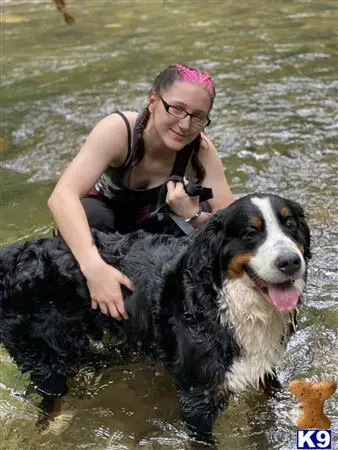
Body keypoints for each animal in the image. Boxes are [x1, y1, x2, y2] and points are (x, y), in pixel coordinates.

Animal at [0, 192, 312, 442]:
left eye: (290, 225)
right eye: (250, 232)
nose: (290, 262)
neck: (228, 301)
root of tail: (16, 254)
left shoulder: (263, 369)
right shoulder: (197, 397)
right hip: (44, 355)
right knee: (48, 397)